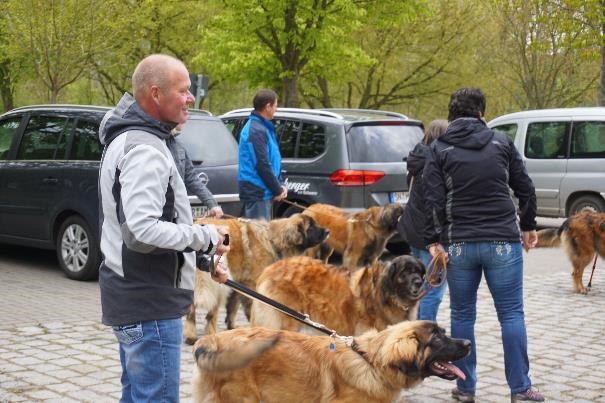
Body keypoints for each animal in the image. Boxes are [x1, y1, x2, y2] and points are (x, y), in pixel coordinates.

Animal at [184, 215, 328, 344]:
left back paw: (191, 335)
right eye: (311, 227)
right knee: (211, 314)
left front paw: (232, 326)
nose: (327, 231)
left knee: (191, 311)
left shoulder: (238, 280)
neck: (271, 240)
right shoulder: (251, 282)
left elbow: (233, 307)